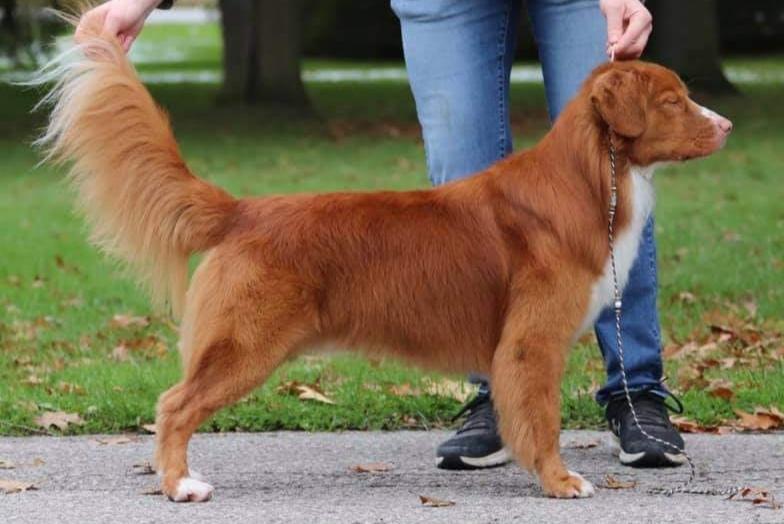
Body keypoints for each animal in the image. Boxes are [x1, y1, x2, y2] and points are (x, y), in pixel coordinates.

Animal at [36, 34, 732, 502]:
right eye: (674, 101)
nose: (724, 125)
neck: (590, 181)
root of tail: (243, 211)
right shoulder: (532, 342)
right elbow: (543, 420)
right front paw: (560, 481)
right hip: (247, 343)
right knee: (174, 403)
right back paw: (180, 485)